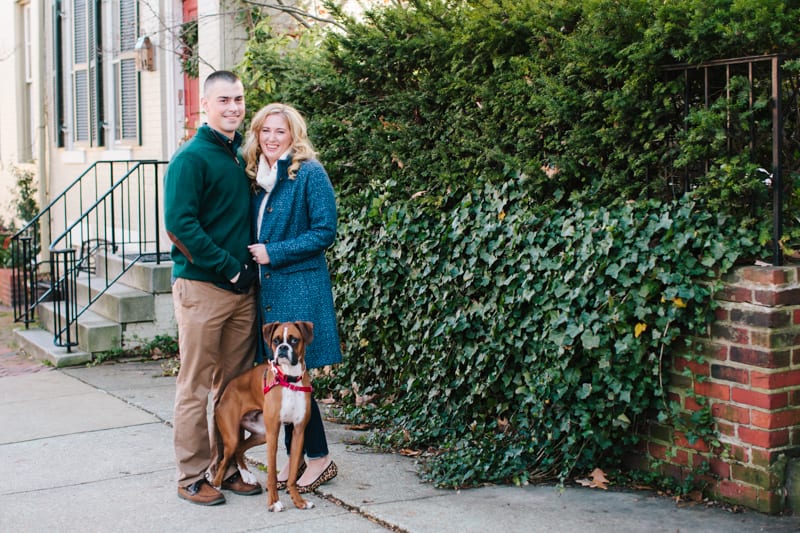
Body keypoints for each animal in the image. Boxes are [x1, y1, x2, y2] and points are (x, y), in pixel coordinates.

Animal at [212, 320, 316, 512]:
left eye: (294, 340)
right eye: (276, 340)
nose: (282, 348)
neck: (289, 379)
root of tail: (225, 392)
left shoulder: (298, 432)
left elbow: (292, 475)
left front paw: (298, 501)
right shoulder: (274, 432)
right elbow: (272, 474)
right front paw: (274, 502)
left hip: (261, 434)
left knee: (239, 450)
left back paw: (246, 476)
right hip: (234, 437)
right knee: (225, 460)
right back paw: (216, 485)